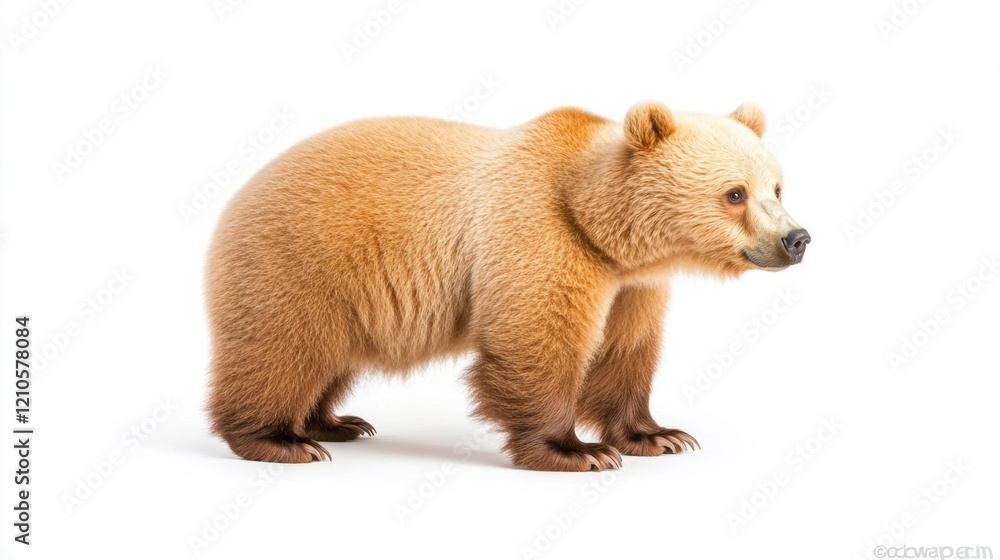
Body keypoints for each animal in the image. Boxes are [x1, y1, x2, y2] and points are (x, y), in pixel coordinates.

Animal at [205, 100, 810, 471]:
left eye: (777, 186)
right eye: (734, 193)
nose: (796, 238)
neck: (599, 225)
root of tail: (236, 198)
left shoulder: (631, 285)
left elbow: (624, 350)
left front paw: (658, 435)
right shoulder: (540, 233)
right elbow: (537, 340)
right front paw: (577, 451)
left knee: (330, 358)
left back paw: (336, 422)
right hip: (302, 259)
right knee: (283, 348)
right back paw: (280, 439)